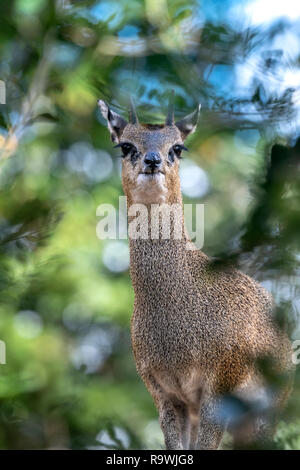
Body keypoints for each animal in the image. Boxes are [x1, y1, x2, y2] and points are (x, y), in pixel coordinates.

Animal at [98, 94, 292, 448]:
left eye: (177, 147)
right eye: (125, 145)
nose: (152, 160)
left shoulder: (220, 384)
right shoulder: (165, 392)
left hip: (266, 410)